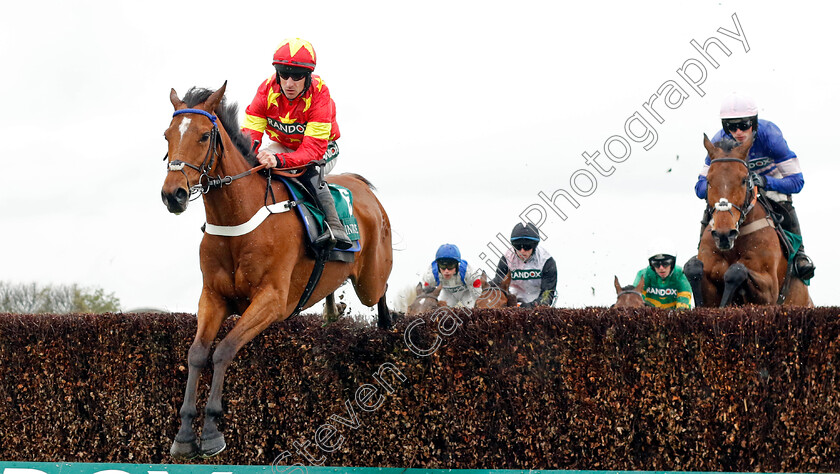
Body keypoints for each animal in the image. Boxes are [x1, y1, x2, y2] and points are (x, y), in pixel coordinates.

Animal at [163, 83, 394, 462]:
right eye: (166, 135)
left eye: (203, 135)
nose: (173, 195)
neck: (238, 220)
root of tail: (361, 186)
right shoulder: (212, 297)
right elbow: (197, 354)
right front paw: (184, 435)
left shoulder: (271, 301)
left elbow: (223, 349)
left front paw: (211, 432)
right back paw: (333, 311)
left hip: (369, 280)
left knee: (383, 290)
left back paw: (387, 326)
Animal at [684, 135, 812, 310]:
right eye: (709, 181)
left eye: (744, 180)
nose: (724, 235)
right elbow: (693, 267)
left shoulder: (770, 291)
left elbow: (736, 270)